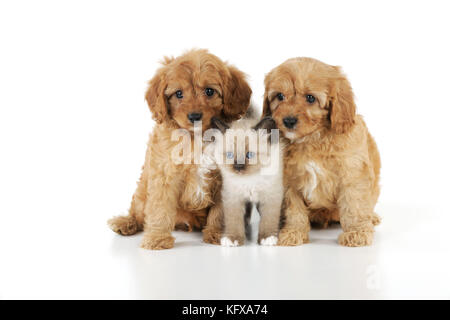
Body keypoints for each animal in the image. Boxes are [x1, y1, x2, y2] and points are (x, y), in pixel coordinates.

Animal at [107, 50, 251, 250]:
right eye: (179, 94)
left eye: (209, 91)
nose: (194, 116)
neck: (197, 138)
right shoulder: (164, 174)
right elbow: (160, 208)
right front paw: (157, 239)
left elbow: (221, 211)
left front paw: (221, 234)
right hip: (142, 192)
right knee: (139, 211)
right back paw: (126, 222)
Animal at [209, 109, 284, 246]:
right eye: (229, 155)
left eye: (249, 155)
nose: (238, 167)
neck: (250, 180)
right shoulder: (233, 197)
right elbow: (234, 220)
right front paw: (232, 239)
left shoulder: (271, 196)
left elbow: (269, 219)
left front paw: (267, 237)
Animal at [262, 58, 382, 248]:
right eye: (280, 96)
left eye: (310, 98)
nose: (288, 121)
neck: (311, 140)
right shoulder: (289, 182)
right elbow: (293, 209)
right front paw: (293, 232)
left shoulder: (352, 174)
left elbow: (354, 204)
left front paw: (356, 233)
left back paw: (372, 217)